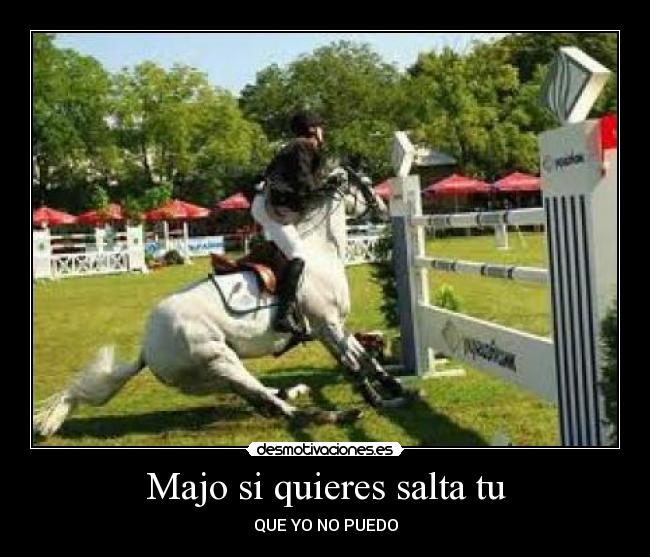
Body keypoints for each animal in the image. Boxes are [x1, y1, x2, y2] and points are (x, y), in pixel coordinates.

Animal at [33, 168, 412, 437]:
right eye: (366, 183)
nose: (383, 208)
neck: (319, 250)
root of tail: (147, 347)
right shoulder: (326, 325)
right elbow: (353, 364)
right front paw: (377, 400)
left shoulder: (332, 328)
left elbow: (365, 359)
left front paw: (394, 391)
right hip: (220, 360)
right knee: (274, 406)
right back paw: (337, 413)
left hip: (210, 376)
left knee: (263, 399)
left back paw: (295, 390)